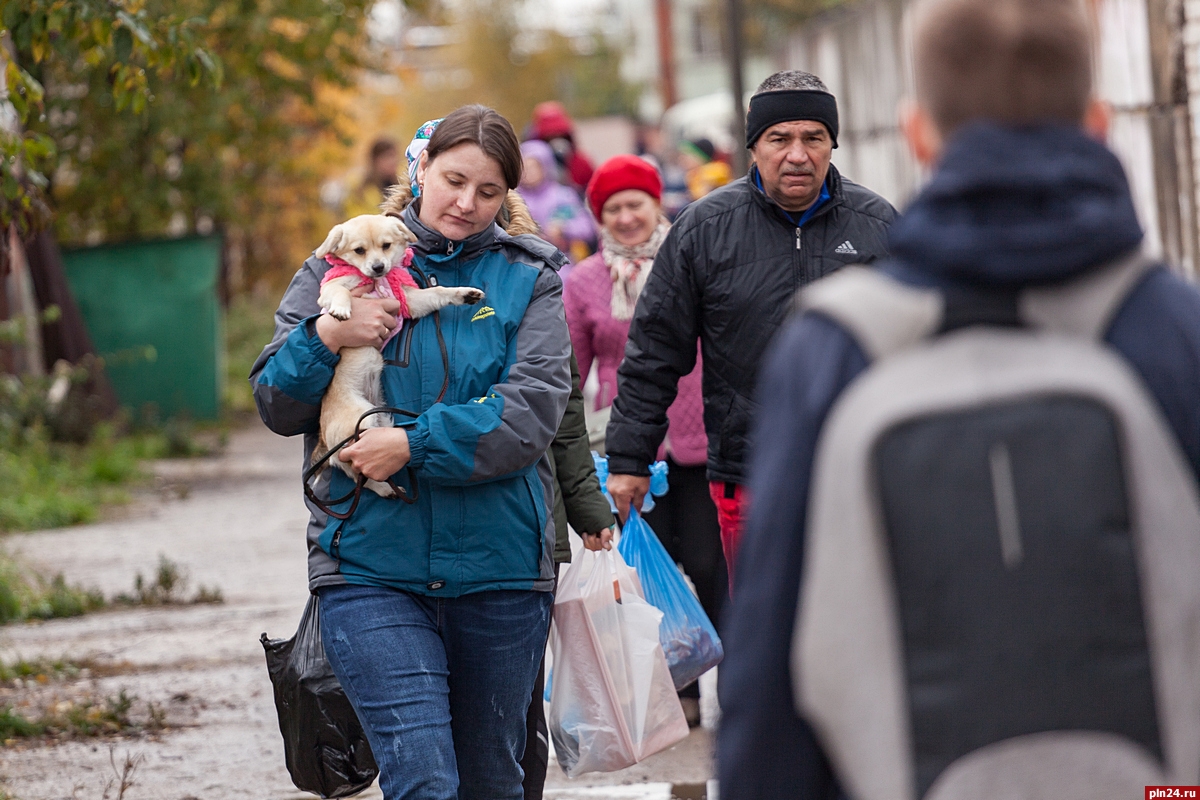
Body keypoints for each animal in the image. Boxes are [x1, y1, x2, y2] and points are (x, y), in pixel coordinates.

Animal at [312, 215, 484, 496]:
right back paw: (384, 488)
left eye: (386, 246)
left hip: (378, 420)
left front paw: (463, 293)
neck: (376, 283)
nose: (379, 267)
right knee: (352, 467)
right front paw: (341, 309)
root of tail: (324, 440)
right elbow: (341, 292)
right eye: (359, 251)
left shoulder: (409, 301)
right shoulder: (329, 287)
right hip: (360, 421)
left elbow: (438, 292)